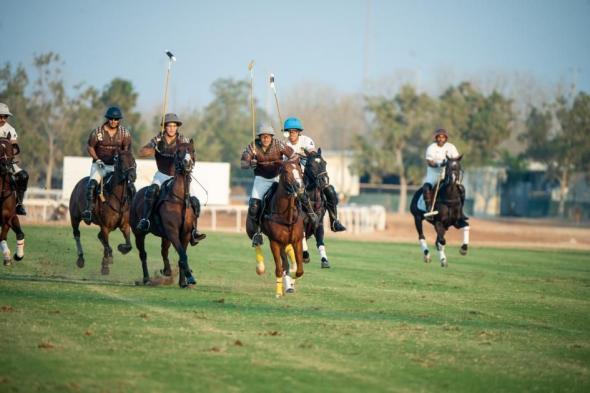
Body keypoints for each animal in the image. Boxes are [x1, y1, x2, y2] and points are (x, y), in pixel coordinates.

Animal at [130, 139, 199, 286]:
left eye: (192, 150)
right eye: (179, 151)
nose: (187, 163)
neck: (179, 199)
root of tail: (137, 193)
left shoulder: (185, 233)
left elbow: (181, 255)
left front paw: (183, 282)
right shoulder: (172, 231)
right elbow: (182, 254)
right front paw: (190, 277)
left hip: (164, 235)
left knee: (164, 251)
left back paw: (167, 270)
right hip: (139, 233)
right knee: (143, 254)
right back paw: (146, 279)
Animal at [258, 158, 308, 296]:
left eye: (300, 169)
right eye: (285, 171)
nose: (299, 186)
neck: (286, 216)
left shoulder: (297, 241)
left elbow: (299, 270)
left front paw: (291, 283)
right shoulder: (274, 242)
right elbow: (279, 269)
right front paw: (279, 292)